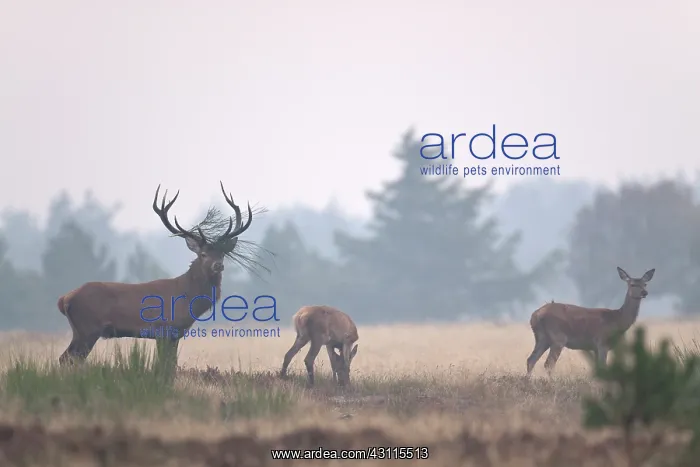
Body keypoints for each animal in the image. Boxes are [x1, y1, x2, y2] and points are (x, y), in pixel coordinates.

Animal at [56, 181, 257, 366]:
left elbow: (171, 365)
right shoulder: (164, 329)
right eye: (203, 254)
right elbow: (164, 365)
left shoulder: (175, 334)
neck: (186, 298)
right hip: (88, 328)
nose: (218, 265)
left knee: (64, 358)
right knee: (69, 359)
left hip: (80, 331)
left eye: (222, 254)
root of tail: (65, 299)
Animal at [526, 266, 655, 376]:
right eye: (632, 284)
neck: (618, 321)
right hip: (558, 337)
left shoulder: (595, 348)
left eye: (645, 284)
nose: (644, 293)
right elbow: (603, 368)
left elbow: (597, 370)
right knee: (548, 364)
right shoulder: (602, 342)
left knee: (531, 360)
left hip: (542, 337)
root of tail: (535, 315)